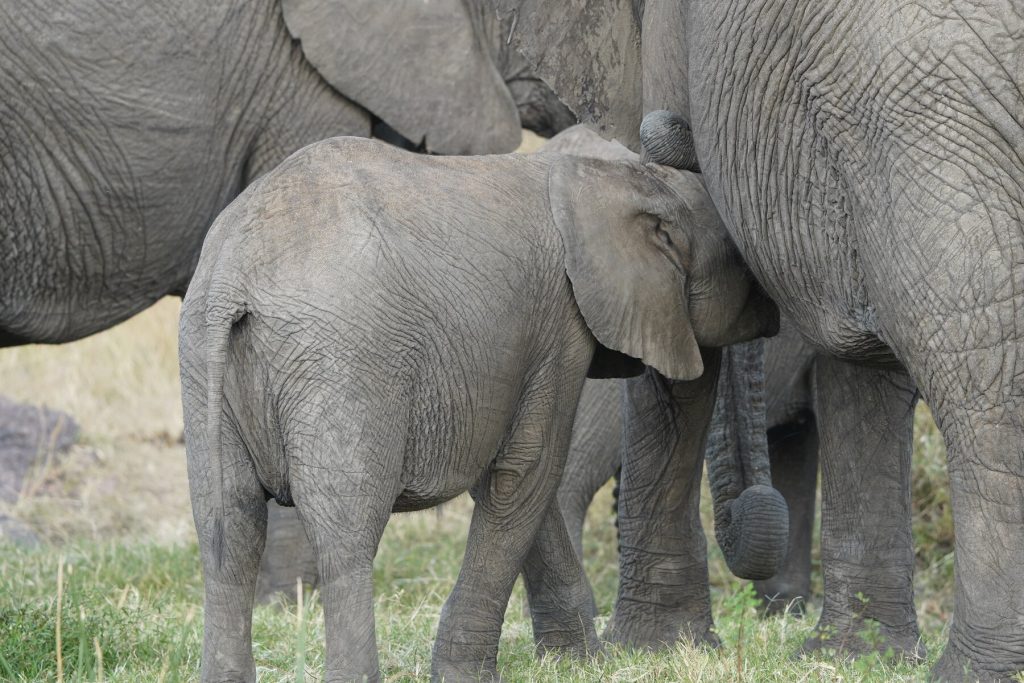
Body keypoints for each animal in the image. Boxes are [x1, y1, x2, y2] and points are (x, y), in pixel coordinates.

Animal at [182, 131, 774, 679]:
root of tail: (234, 273)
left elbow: (516, 477)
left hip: (203, 355)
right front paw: (469, 675)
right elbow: (528, 469)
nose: (774, 314)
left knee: (228, 525)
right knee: (344, 529)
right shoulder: (559, 324)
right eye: (742, 259)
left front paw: (579, 662)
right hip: (343, 359)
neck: (606, 177)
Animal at [495, 0, 1024, 679]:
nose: (670, 131)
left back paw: (975, 668)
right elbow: (856, 372)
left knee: (977, 360)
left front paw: (651, 646)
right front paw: (853, 656)